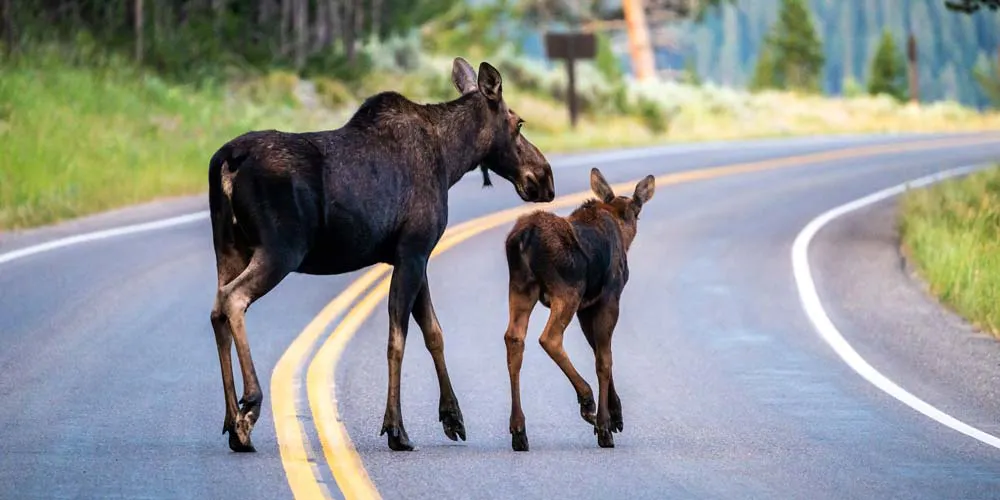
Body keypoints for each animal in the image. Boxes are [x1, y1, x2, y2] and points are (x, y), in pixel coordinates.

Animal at [207, 57, 555, 453]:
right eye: (519, 123)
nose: (545, 178)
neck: (451, 160)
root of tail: (227, 160)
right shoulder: (413, 251)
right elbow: (397, 340)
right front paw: (396, 429)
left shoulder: (414, 256)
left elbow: (434, 332)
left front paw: (452, 417)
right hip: (280, 250)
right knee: (233, 299)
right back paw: (249, 406)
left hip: (229, 247)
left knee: (217, 308)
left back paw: (232, 423)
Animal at [502, 168, 655, 451]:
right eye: (637, 212)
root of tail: (522, 239)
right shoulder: (609, 297)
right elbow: (604, 359)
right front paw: (605, 425)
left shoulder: (587, 306)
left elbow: (597, 350)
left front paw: (615, 415)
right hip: (567, 290)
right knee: (549, 338)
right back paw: (587, 400)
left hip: (521, 287)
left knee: (514, 339)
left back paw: (518, 429)